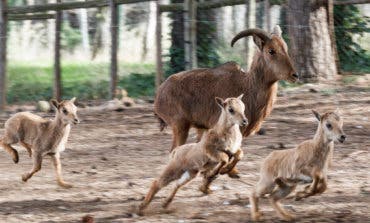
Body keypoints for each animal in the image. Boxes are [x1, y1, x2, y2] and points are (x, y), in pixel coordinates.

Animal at [153, 25, 298, 176]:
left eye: (285, 48)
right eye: (271, 51)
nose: (294, 75)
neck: (248, 86)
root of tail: (159, 94)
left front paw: (230, 171)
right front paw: (223, 170)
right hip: (180, 127)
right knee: (174, 152)